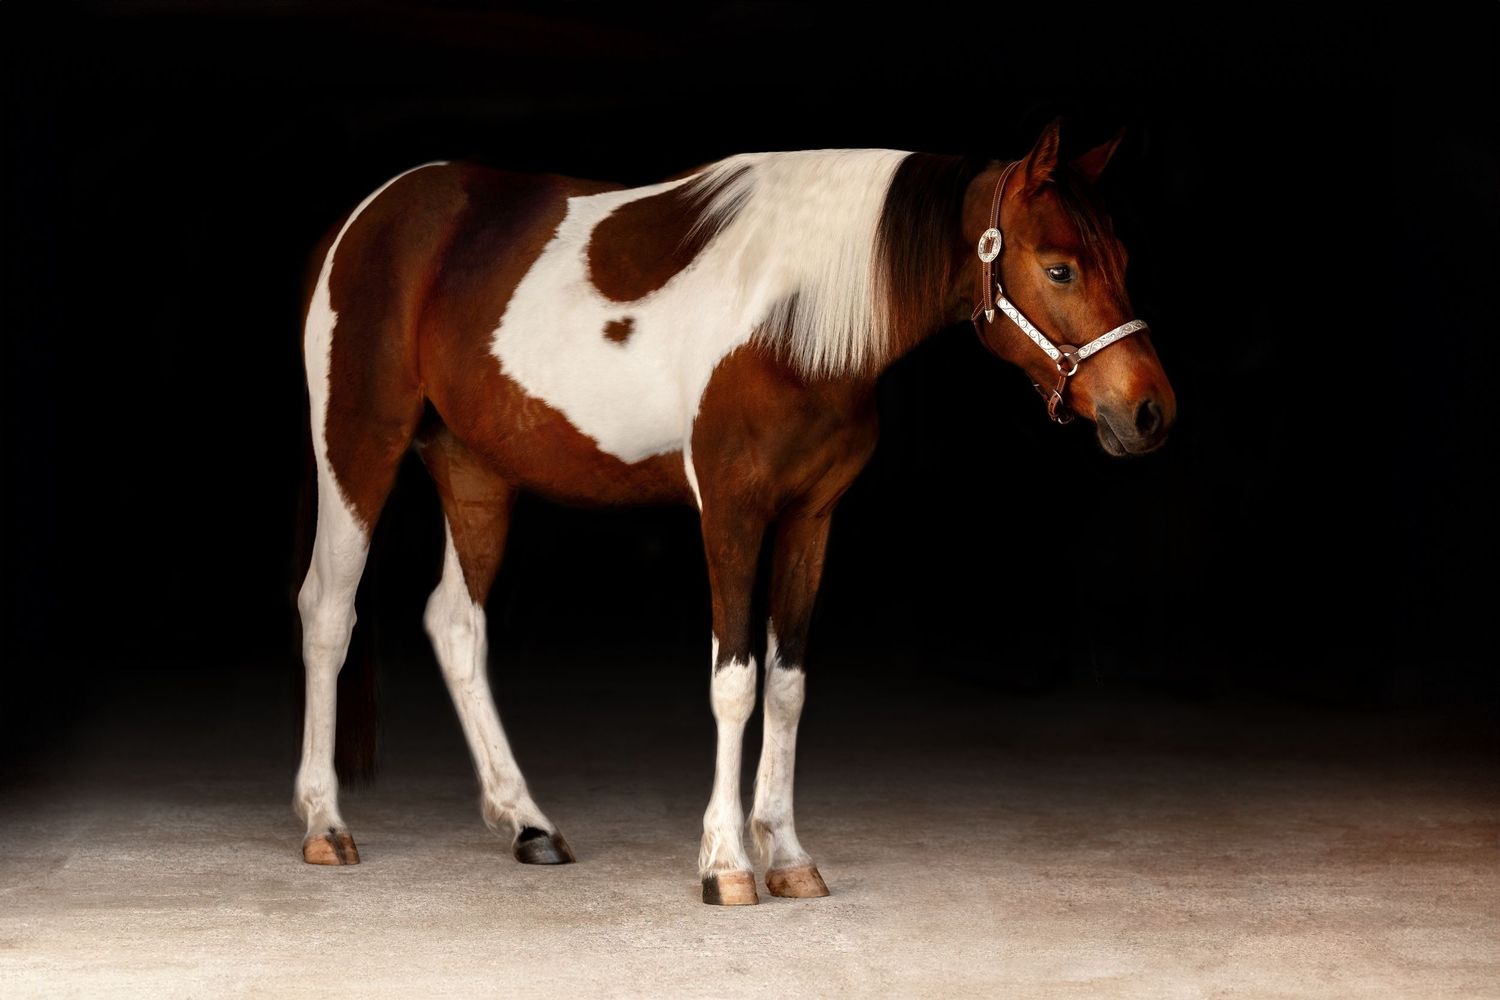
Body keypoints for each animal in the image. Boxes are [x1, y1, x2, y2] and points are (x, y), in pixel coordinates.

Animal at [293, 118, 1176, 906]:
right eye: (1058, 270)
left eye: (1124, 257)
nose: (1149, 413)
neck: (791, 317)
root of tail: (368, 215)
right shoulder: (732, 511)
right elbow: (735, 683)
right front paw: (725, 864)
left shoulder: (811, 517)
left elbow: (786, 687)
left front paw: (785, 854)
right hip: (357, 444)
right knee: (328, 611)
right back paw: (325, 824)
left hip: (477, 472)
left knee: (455, 623)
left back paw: (528, 825)